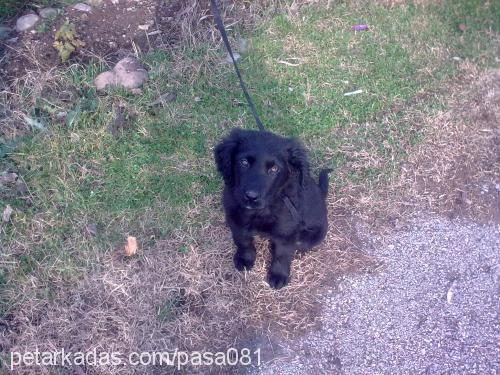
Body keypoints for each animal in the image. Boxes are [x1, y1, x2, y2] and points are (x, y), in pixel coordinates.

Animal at [213, 129, 330, 290]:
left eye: (274, 169)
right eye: (244, 162)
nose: (251, 196)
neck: (261, 210)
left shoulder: (287, 231)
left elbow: (282, 254)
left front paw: (278, 275)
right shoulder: (236, 219)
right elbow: (242, 241)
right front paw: (245, 258)